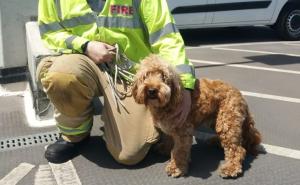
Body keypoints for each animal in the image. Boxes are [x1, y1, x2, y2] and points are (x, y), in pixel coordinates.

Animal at [132, 54, 262, 178]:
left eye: (164, 77)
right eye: (145, 76)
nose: (152, 90)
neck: (169, 101)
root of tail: (239, 94)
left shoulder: (183, 131)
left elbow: (179, 151)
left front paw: (176, 167)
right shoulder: (169, 126)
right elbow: (169, 138)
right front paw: (165, 148)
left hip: (227, 121)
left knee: (237, 149)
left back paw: (230, 168)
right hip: (216, 120)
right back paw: (216, 142)